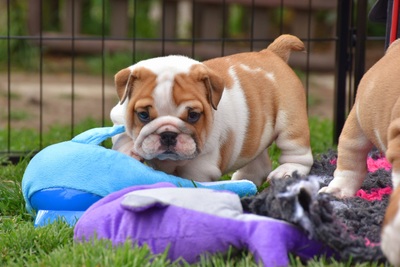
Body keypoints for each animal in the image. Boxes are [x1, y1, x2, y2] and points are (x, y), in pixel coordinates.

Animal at [111, 34, 314, 187]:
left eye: (193, 115)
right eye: (143, 115)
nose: (168, 134)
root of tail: (273, 53)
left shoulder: (201, 164)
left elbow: (193, 177)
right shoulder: (119, 117)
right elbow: (123, 137)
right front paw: (128, 152)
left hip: (290, 122)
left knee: (298, 153)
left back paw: (286, 172)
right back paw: (244, 179)